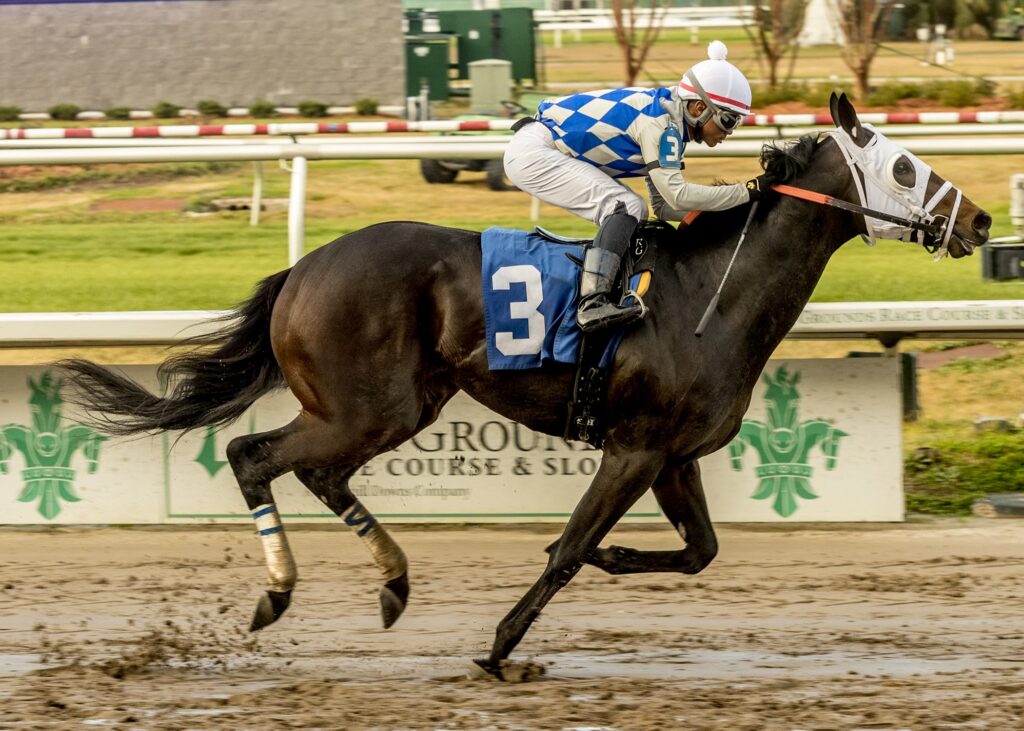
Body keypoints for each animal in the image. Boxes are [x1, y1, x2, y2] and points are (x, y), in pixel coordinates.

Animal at [58, 93, 990, 678]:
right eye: (904, 169)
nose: (980, 221)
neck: (705, 296)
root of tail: (304, 268)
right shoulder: (634, 448)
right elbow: (570, 548)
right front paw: (503, 645)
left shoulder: (672, 453)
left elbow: (698, 551)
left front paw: (617, 556)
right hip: (368, 406)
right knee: (255, 454)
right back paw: (278, 595)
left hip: (401, 405)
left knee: (316, 471)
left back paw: (394, 584)